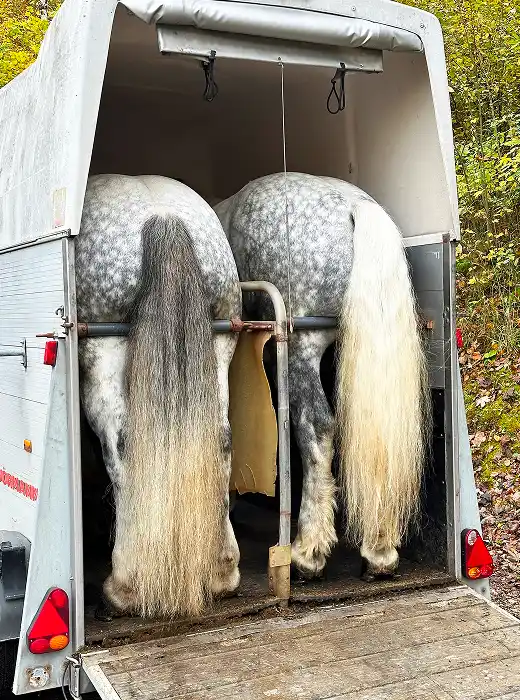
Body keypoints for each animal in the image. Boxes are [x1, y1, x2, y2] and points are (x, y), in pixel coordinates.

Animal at [75, 174, 242, 618]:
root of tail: (163, 217)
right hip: (219, 342)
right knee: (220, 438)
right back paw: (222, 570)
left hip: (105, 349)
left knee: (123, 441)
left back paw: (124, 585)